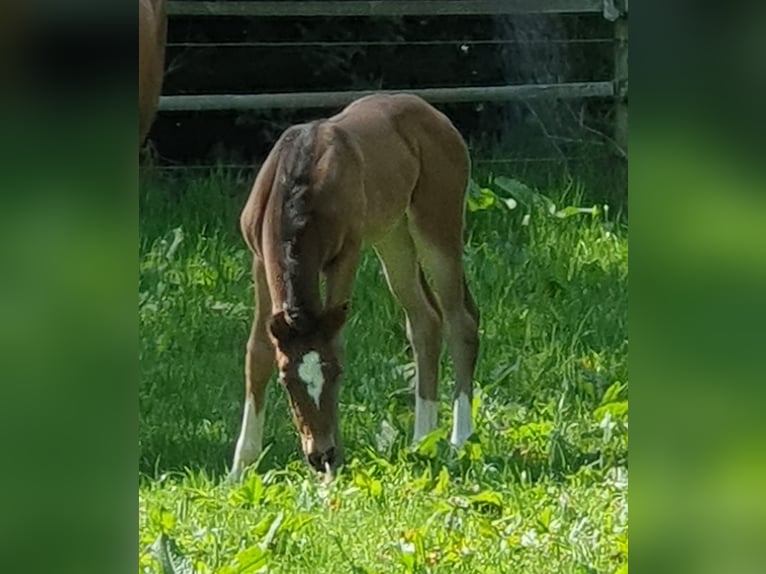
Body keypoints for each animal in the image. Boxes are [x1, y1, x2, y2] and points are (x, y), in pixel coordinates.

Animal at [231, 95, 480, 482]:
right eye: (287, 381)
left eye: (336, 374)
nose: (320, 454)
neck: (298, 181)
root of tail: (436, 115)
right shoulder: (259, 259)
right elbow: (257, 352)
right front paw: (241, 467)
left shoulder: (346, 255)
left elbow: (336, 339)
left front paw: (334, 467)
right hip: (393, 237)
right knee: (425, 320)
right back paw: (421, 440)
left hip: (436, 225)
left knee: (460, 321)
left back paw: (459, 439)